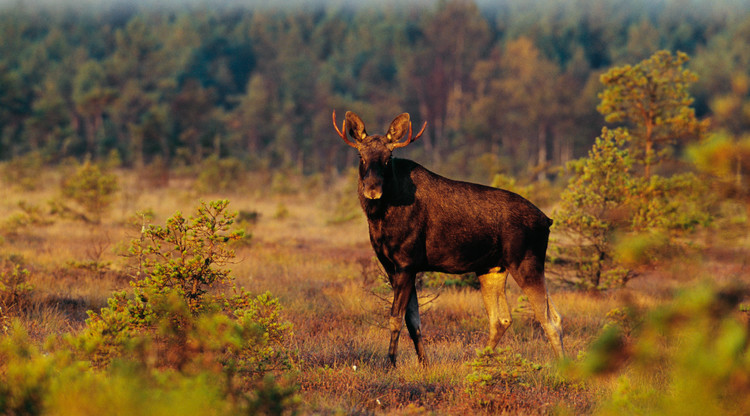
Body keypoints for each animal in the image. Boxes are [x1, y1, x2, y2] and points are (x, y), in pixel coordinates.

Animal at [334, 110, 564, 368]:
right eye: (360, 155)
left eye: (388, 157)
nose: (373, 188)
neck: (378, 217)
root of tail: (547, 221)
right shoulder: (393, 266)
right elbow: (413, 322)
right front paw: (424, 363)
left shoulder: (406, 263)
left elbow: (395, 319)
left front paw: (390, 364)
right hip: (492, 268)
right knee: (501, 319)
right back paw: (475, 363)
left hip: (526, 262)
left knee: (550, 319)